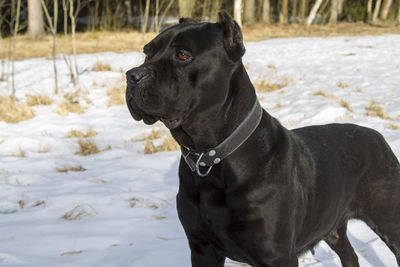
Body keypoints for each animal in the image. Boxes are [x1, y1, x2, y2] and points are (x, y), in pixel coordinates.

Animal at [126, 11, 400, 267]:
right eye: (147, 52)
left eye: (183, 55)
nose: (132, 75)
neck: (210, 156)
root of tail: (377, 136)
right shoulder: (202, 248)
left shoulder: (276, 255)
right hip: (331, 224)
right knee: (349, 254)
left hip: (389, 219)